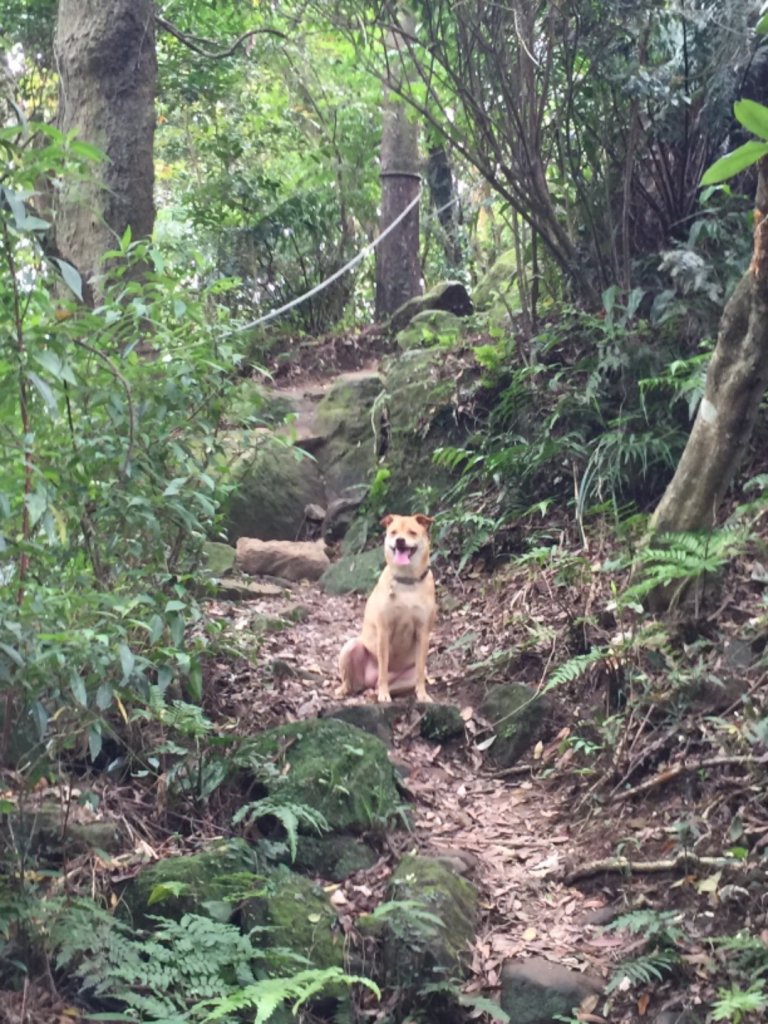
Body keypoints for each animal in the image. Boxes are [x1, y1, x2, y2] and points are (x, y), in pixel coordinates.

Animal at [337, 516, 438, 700]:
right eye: (393, 532)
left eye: (412, 532)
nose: (399, 541)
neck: (407, 582)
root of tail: (368, 682)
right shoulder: (384, 631)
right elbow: (383, 668)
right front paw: (384, 695)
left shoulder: (423, 633)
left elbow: (420, 672)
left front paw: (422, 695)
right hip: (350, 647)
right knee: (352, 683)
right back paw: (346, 691)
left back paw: (375, 691)